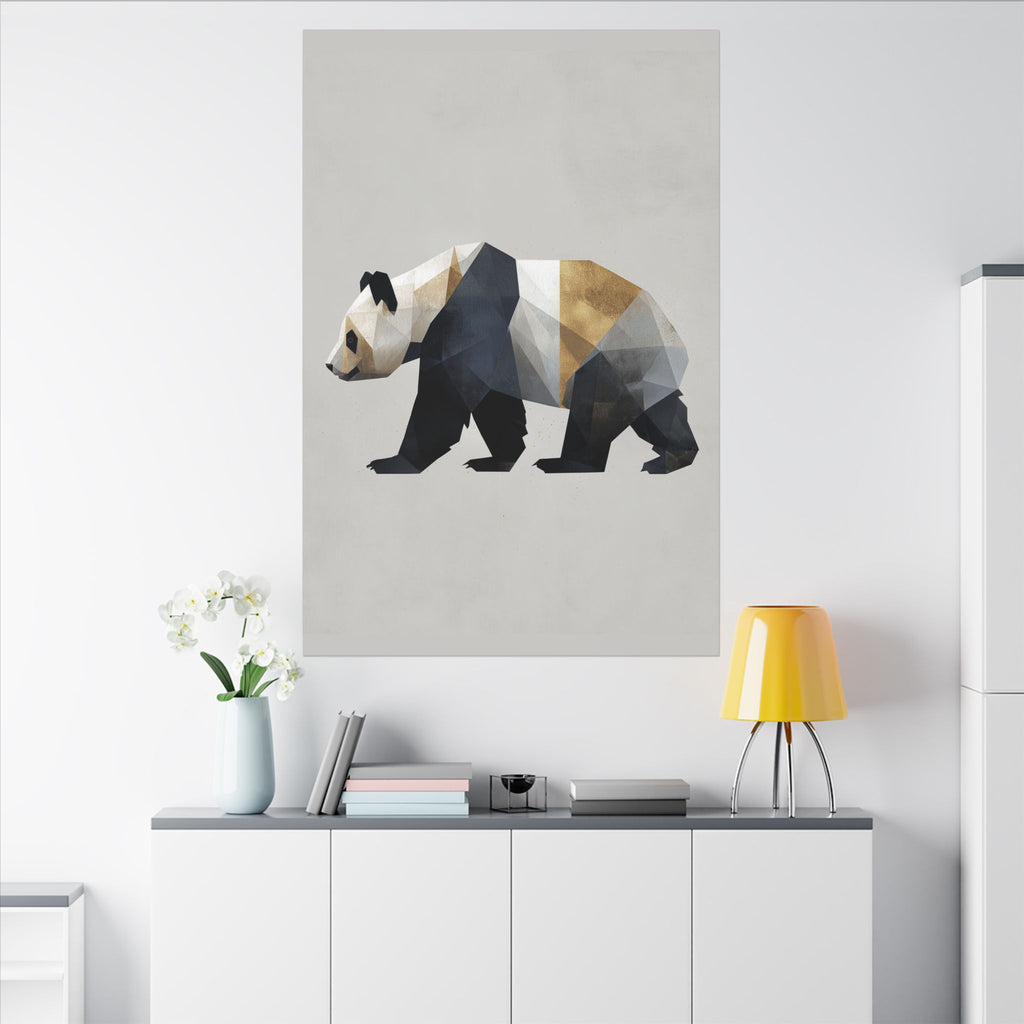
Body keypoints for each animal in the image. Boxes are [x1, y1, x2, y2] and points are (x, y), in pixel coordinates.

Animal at [325, 242, 698, 474]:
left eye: (351, 338)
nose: (329, 366)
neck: (432, 288)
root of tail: (675, 340)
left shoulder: (471, 318)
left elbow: (444, 398)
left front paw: (393, 462)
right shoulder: (498, 346)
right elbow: (494, 403)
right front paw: (498, 459)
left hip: (611, 351)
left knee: (594, 408)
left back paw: (565, 464)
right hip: (644, 366)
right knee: (658, 408)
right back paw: (672, 456)